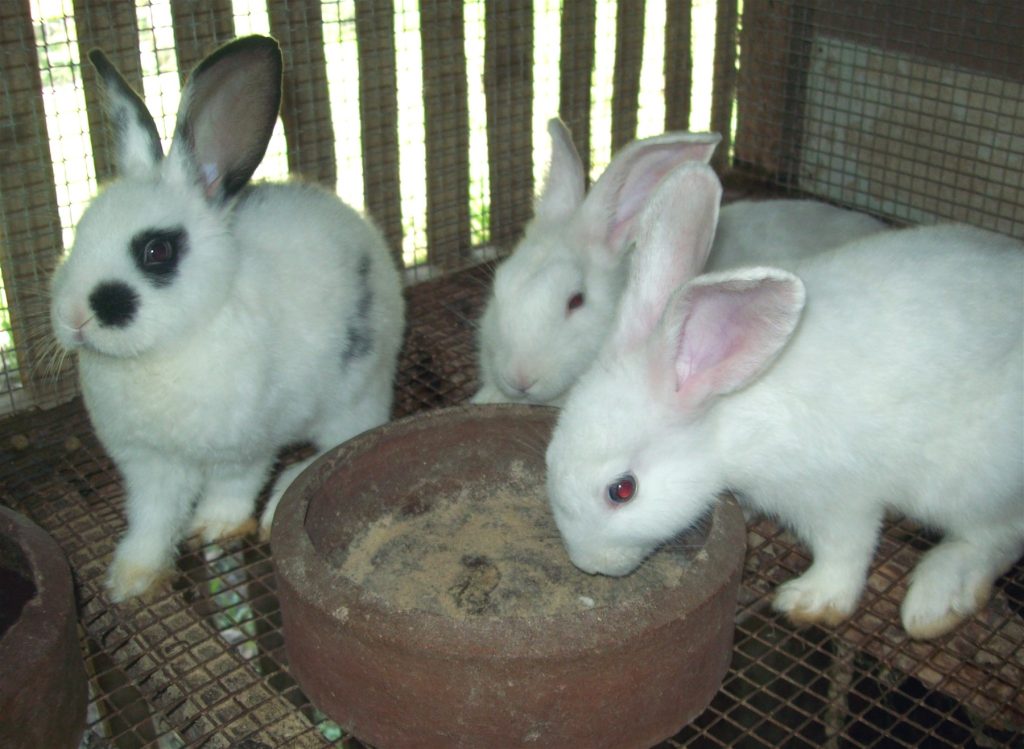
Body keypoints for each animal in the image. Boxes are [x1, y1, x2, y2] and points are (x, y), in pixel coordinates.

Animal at [49, 36, 405, 602]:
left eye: (156, 251)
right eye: (80, 233)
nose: (76, 317)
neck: (164, 351)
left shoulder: (245, 444)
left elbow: (232, 487)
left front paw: (216, 526)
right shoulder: (147, 462)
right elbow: (152, 517)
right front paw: (132, 579)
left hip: (352, 393)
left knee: (346, 441)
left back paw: (283, 496)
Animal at [545, 160, 1023, 640]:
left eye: (622, 491)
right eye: (550, 456)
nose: (587, 563)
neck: (725, 413)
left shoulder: (837, 494)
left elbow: (845, 549)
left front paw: (810, 600)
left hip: (968, 481)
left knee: (995, 539)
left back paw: (933, 604)